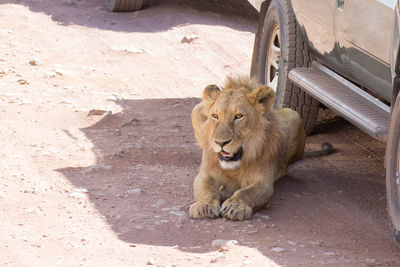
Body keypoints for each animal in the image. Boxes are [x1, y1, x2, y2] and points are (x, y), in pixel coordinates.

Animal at [189, 76, 330, 221]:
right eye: (215, 116)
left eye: (238, 116)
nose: (220, 142)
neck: (236, 166)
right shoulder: (206, 173)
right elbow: (206, 188)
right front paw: (204, 205)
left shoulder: (263, 183)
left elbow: (246, 192)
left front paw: (235, 207)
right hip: (197, 109)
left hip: (293, 114)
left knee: (284, 167)